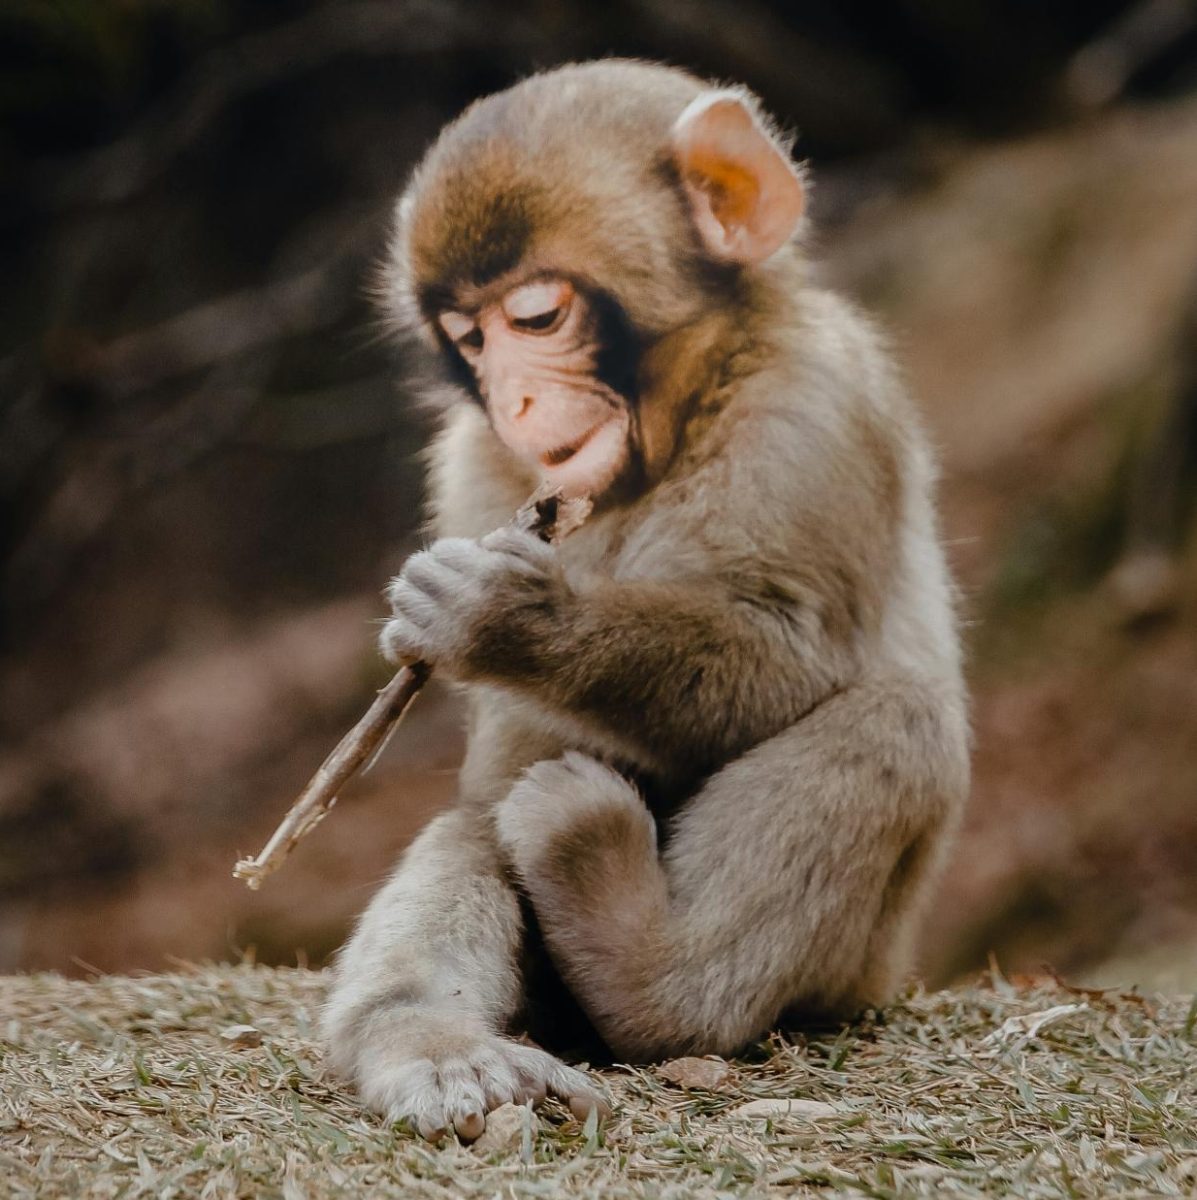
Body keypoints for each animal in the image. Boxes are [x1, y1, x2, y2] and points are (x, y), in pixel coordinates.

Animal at [321, 59, 970, 1141]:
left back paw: (649, 975)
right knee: (479, 819)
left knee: (899, 721)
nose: (515, 402)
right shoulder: (472, 465)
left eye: (536, 317)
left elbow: (793, 661)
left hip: (859, 963)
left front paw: (513, 622)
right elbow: (502, 758)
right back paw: (435, 1046)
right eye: (469, 339)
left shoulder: (815, 412)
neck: (673, 429)